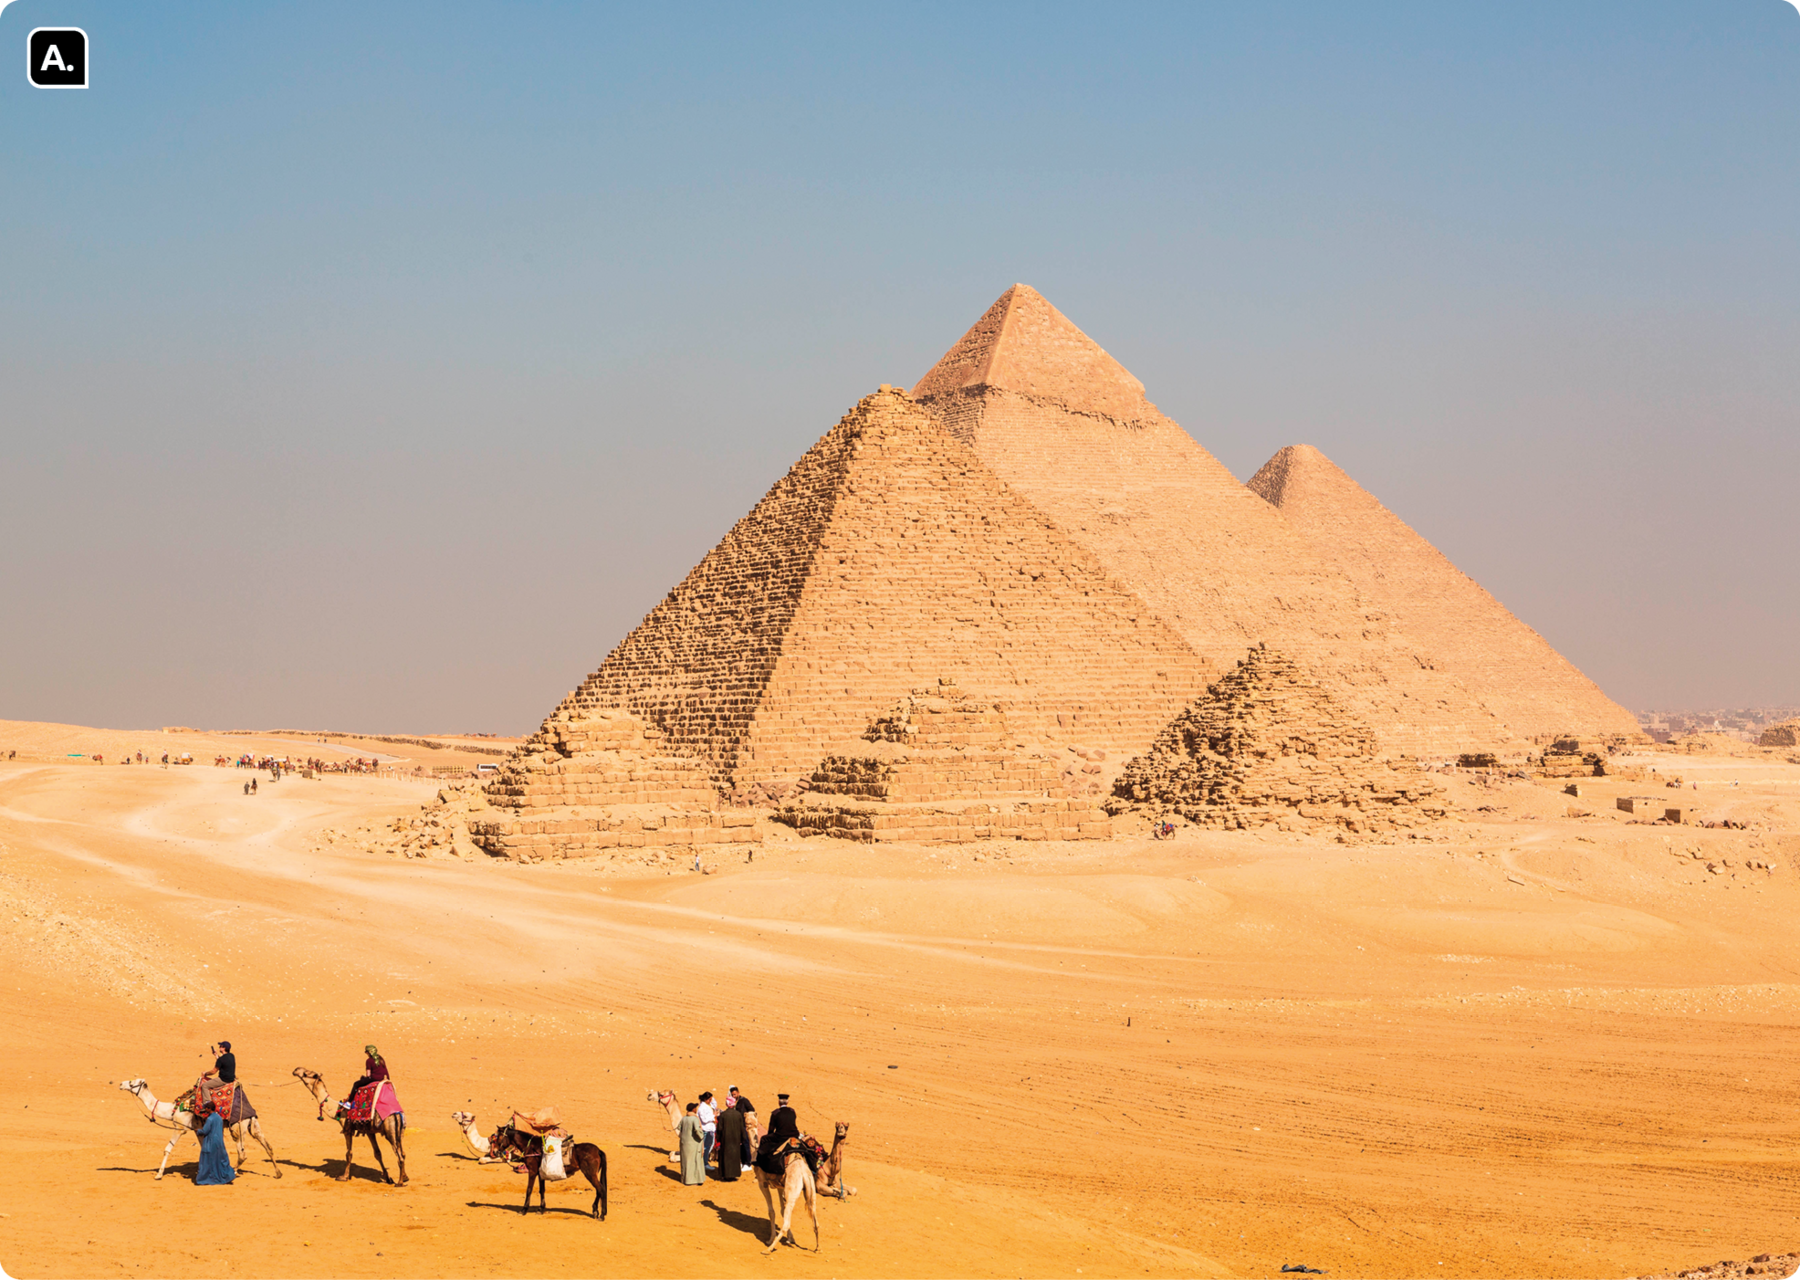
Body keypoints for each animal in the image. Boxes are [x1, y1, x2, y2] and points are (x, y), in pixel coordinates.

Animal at [116, 1072, 279, 1180]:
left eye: (132, 1083)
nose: (120, 1084)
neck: (172, 1109)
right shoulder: (197, 1128)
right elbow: (203, 1149)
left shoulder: (180, 1128)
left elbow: (167, 1149)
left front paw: (159, 1174)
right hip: (252, 1122)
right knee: (268, 1146)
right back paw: (278, 1173)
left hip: (237, 1126)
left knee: (242, 1153)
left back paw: (234, 1172)